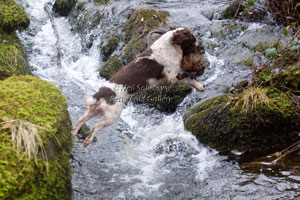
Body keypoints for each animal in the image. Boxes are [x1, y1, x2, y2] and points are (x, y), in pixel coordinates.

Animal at [71, 27, 205, 147]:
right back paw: (87, 141)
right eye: (192, 41)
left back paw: (73, 134)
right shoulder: (171, 77)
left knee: (80, 120)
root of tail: (100, 94)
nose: (201, 50)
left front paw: (198, 86)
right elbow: (187, 79)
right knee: (96, 126)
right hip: (112, 115)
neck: (170, 45)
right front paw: (198, 85)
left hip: (94, 110)